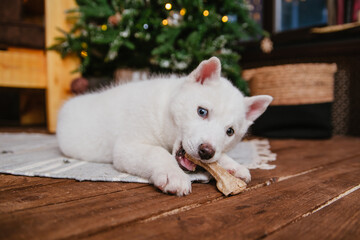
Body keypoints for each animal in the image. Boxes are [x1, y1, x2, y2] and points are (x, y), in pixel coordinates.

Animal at [57, 57, 272, 196]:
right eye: (202, 111)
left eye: (230, 131)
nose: (206, 152)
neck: (164, 113)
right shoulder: (127, 147)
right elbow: (157, 152)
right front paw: (173, 175)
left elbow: (220, 159)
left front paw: (234, 166)